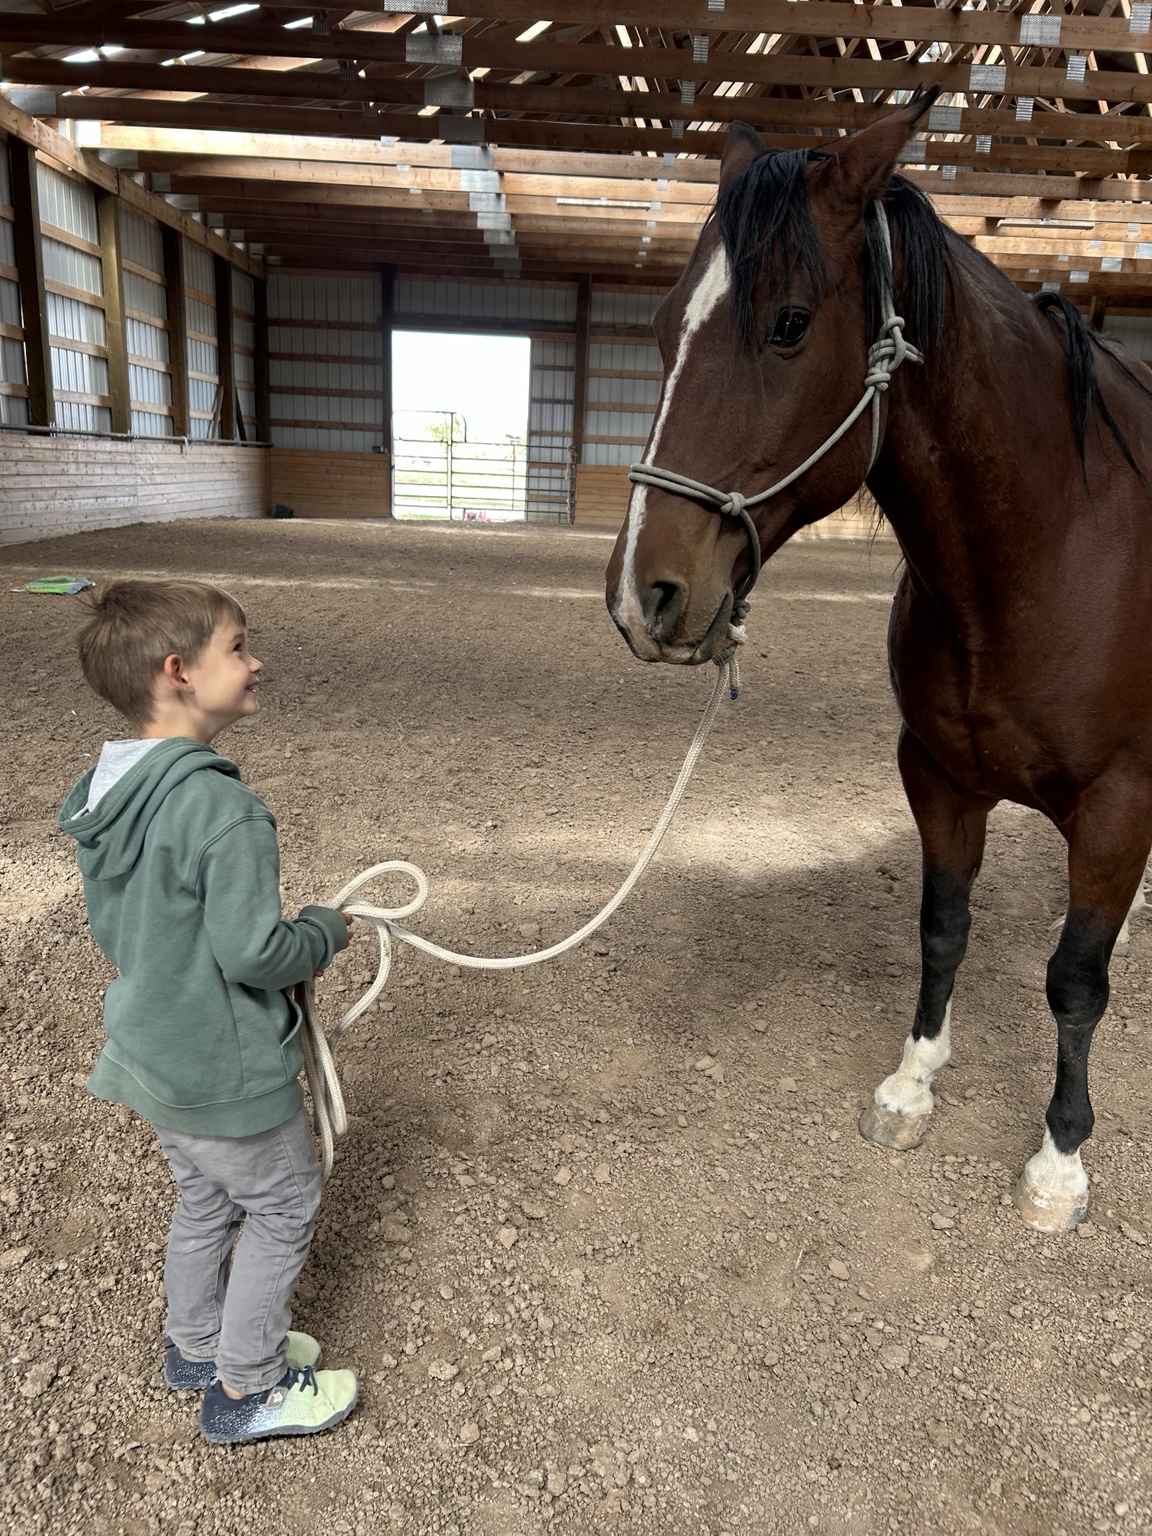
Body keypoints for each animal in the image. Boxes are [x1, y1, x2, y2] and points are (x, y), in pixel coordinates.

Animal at [605, 94, 1152, 1234]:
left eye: (788, 323)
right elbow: (943, 928)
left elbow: (1075, 983)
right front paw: (911, 1084)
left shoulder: (1120, 802)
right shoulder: (937, 774)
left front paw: (1059, 1160)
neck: (1053, 550)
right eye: (665, 324)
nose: (644, 595)